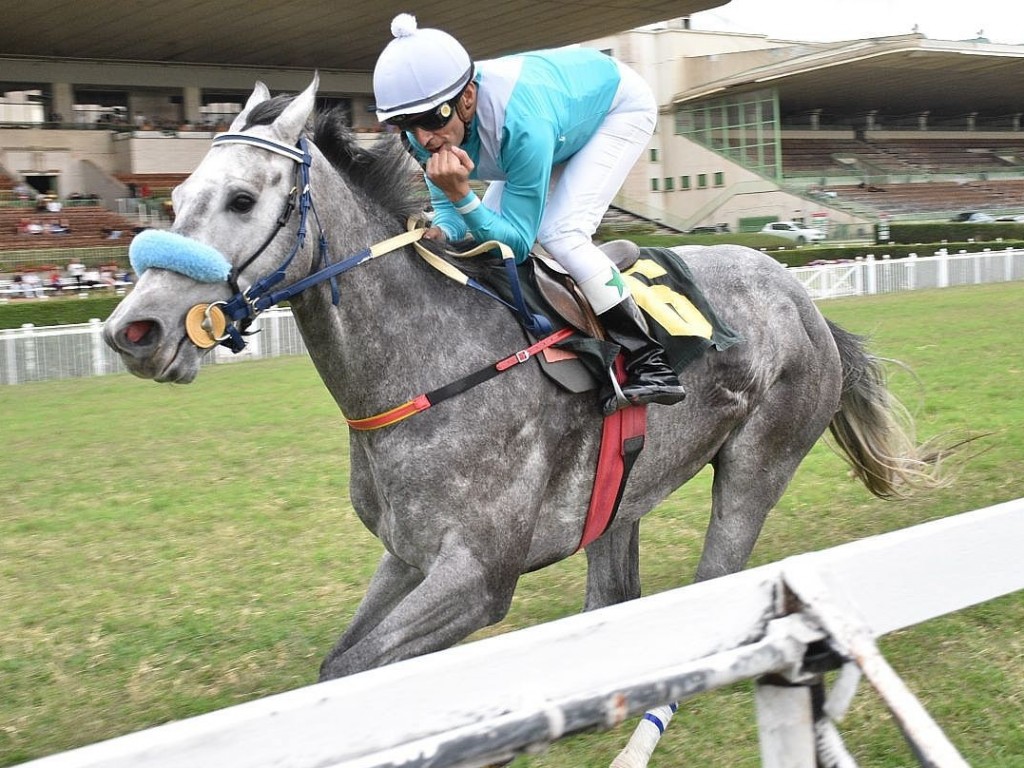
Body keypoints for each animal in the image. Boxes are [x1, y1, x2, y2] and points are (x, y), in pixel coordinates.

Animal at [103, 76, 937, 765]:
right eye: (175, 198)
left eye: (242, 200)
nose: (132, 331)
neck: (427, 367)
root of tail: (801, 296)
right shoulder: (408, 556)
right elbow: (339, 669)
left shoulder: (478, 573)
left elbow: (361, 669)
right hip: (622, 495)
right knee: (616, 598)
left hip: (760, 463)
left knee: (715, 589)